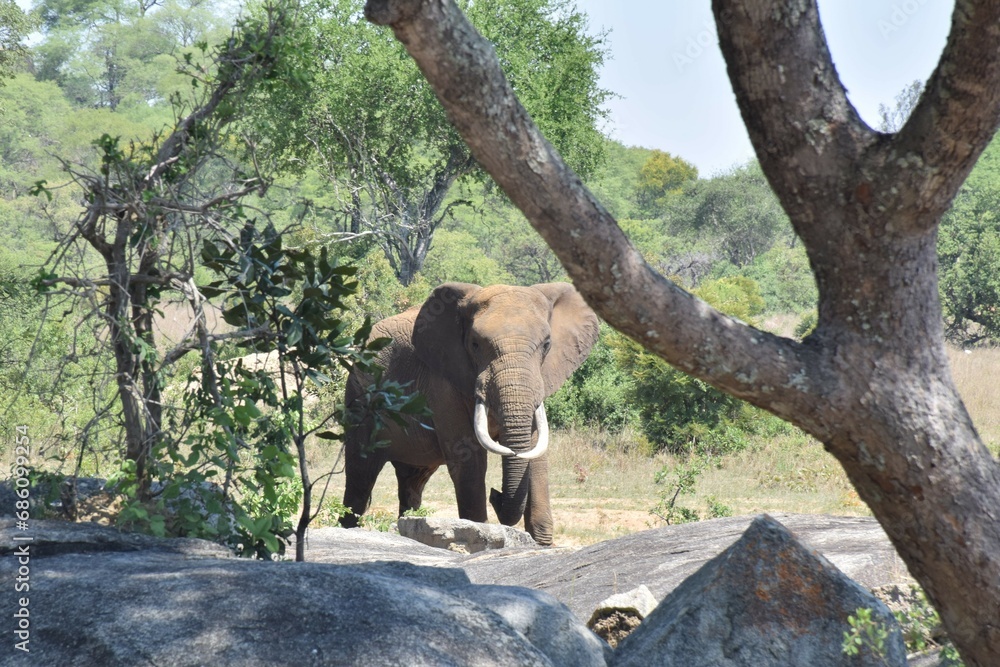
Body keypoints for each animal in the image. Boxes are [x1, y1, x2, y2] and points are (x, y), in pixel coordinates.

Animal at [339, 282, 599, 546]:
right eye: (475, 344)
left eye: (546, 344)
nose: (496, 494)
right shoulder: (442, 383)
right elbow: (468, 459)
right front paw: (482, 535)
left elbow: (536, 456)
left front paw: (541, 545)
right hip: (359, 397)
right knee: (360, 478)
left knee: (412, 481)